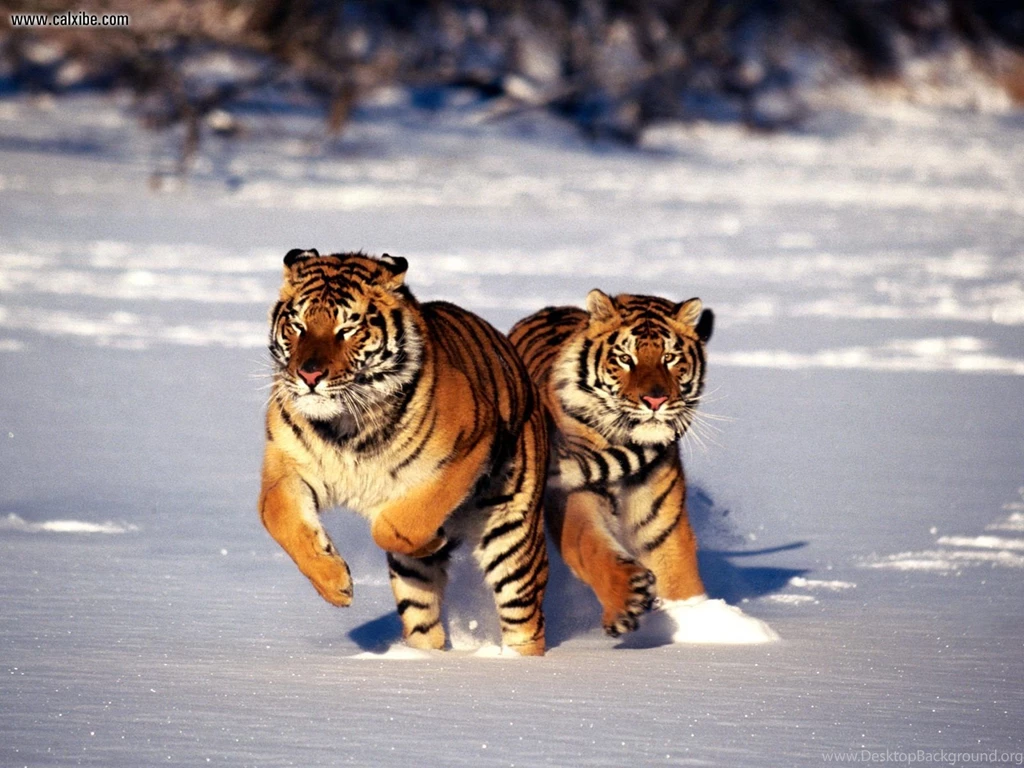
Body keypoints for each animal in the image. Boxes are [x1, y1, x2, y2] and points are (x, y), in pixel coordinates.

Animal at [259, 249, 549, 655]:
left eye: (347, 329)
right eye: (298, 326)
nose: (309, 375)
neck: (345, 425)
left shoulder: (467, 446)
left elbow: (397, 525)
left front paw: (433, 537)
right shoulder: (287, 465)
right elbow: (277, 518)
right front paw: (335, 584)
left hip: (512, 536)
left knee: (525, 620)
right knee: (423, 619)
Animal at [509, 289, 714, 638]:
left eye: (670, 358)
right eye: (625, 359)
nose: (656, 400)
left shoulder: (662, 527)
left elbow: (679, 577)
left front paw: (702, 621)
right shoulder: (574, 497)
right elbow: (593, 547)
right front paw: (627, 599)